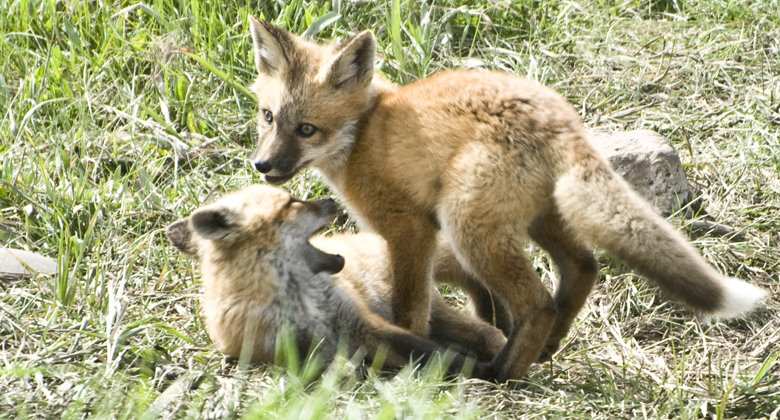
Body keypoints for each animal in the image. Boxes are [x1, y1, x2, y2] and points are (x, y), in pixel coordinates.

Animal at [166, 184, 506, 378]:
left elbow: (436, 354)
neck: (302, 303)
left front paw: (487, 373)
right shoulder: (282, 349)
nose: (332, 200)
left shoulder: (363, 323)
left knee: (483, 331)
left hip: (431, 311)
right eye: (291, 203)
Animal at [244, 17, 768, 381]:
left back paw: (505, 373)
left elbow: (411, 309)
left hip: (469, 225)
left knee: (538, 302)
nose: (263, 166)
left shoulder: (408, 228)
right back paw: (543, 348)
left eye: (306, 129)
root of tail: (558, 117)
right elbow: (486, 304)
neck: (362, 135)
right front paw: (486, 332)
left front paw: (413, 355)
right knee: (582, 267)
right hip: (534, 219)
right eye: (268, 117)